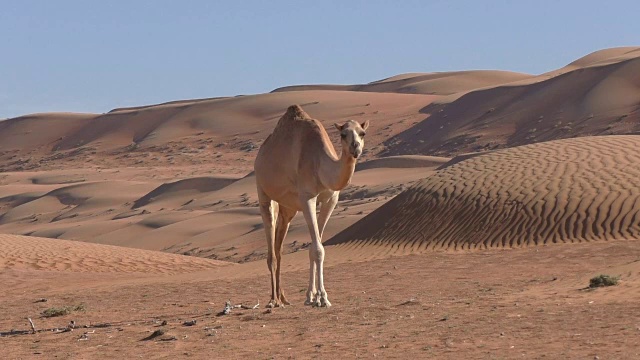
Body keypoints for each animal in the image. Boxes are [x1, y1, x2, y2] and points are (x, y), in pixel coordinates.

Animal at [252, 103, 368, 306]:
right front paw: (322, 298)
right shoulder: (307, 198)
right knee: (271, 248)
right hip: (263, 190)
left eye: (362, 133)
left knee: (279, 248)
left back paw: (283, 298)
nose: (355, 148)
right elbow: (318, 249)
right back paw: (273, 300)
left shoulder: (331, 200)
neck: (320, 164)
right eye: (343, 134)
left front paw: (311, 296)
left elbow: (315, 247)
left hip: (288, 208)